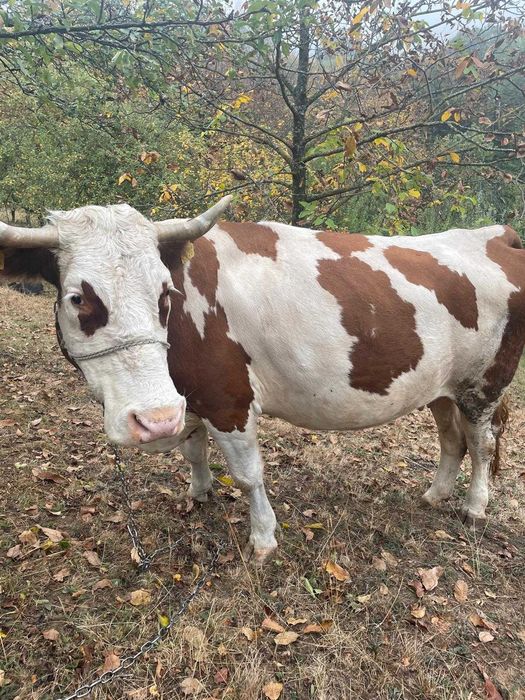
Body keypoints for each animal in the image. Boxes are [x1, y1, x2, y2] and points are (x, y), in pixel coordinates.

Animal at [1, 202, 524, 563]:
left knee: (480, 442)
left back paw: (474, 506)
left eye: (164, 292)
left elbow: (249, 475)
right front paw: (199, 494)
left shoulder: (227, 398)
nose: (154, 419)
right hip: (439, 387)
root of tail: (493, 235)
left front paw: (264, 539)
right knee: (451, 438)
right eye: (78, 298)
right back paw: (435, 494)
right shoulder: (189, 399)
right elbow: (193, 450)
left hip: (483, 384)